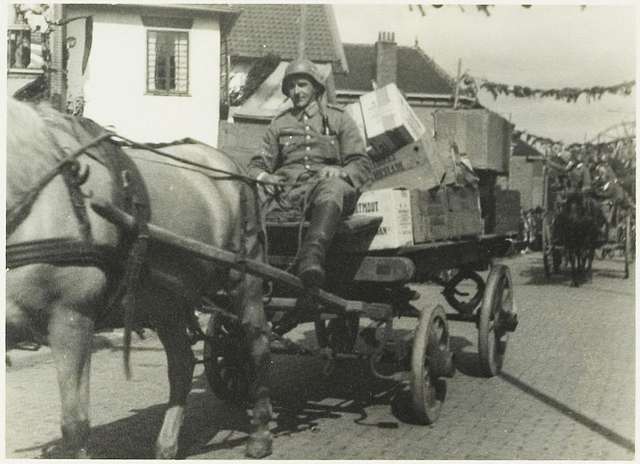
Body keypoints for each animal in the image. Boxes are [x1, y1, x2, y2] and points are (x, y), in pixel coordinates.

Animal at [7, 99, 272, 460]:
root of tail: (231, 166)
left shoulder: (71, 321)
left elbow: (75, 425)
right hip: (166, 302)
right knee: (182, 363)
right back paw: (167, 444)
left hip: (245, 283)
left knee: (256, 347)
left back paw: (259, 431)